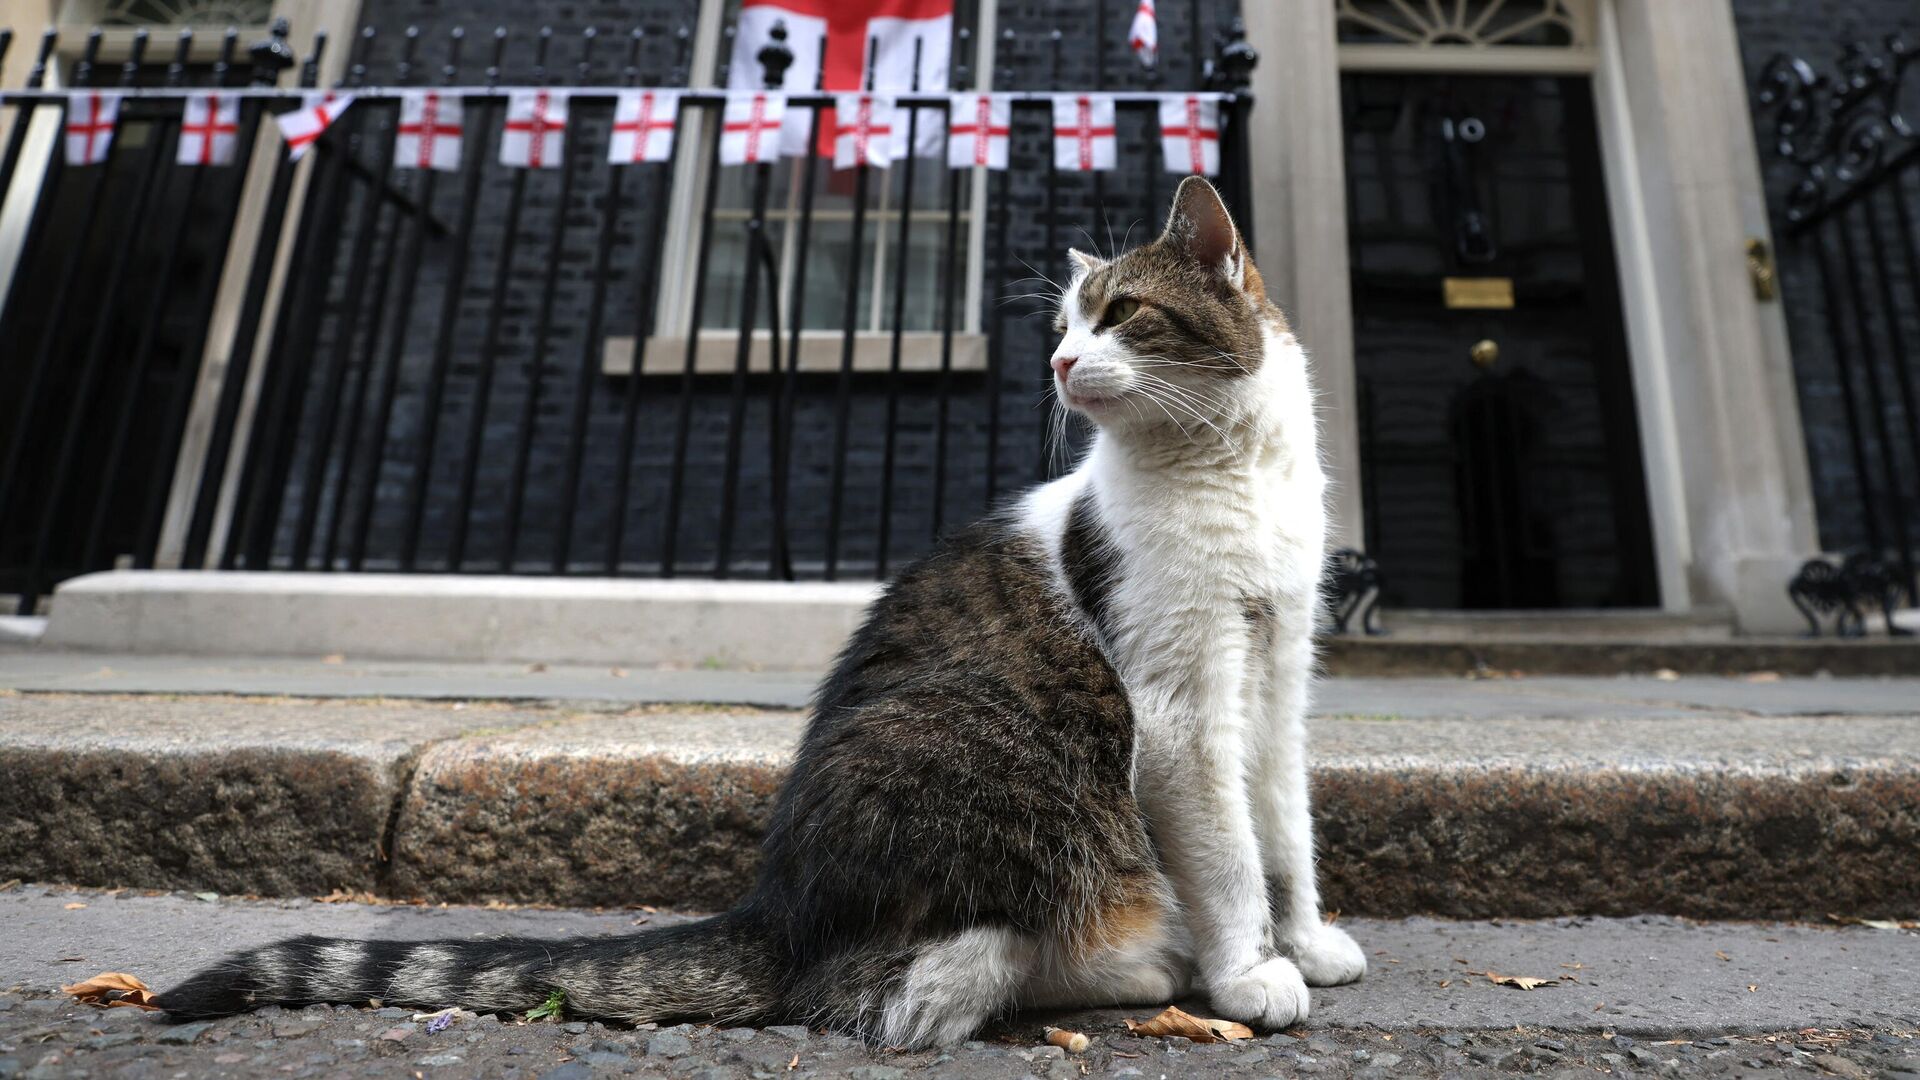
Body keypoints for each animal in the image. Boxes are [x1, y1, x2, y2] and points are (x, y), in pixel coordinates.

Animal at [161, 174, 1367, 1045]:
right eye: (1065, 326)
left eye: (1120, 315)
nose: (1066, 363)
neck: (1231, 473)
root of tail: (775, 911)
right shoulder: (1176, 702)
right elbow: (1225, 855)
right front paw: (1248, 972)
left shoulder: (1278, 676)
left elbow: (1286, 827)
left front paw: (1305, 939)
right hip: (1000, 761)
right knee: (908, 985)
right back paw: (1136, 961)